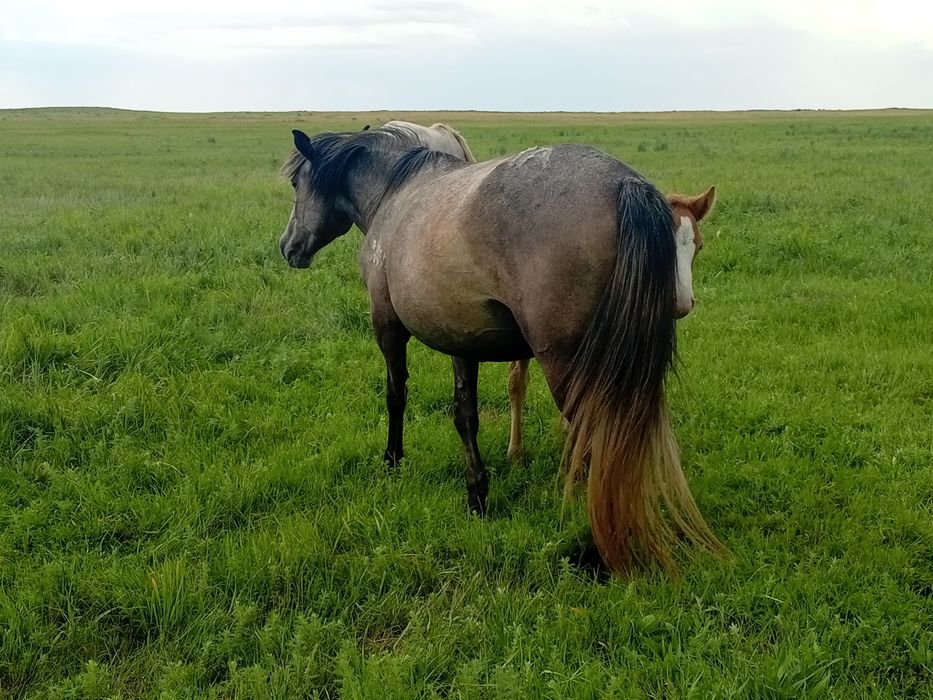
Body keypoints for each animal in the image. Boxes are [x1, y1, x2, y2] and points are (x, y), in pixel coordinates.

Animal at [279, 123, 721, 573]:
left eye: (296, 183)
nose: (288, 246)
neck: (395, 194)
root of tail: (624, 184)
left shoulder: (387, 326)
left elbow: (395, 395)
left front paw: (393, 460)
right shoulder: (460, 339)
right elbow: (465, 416)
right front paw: (477, 493)